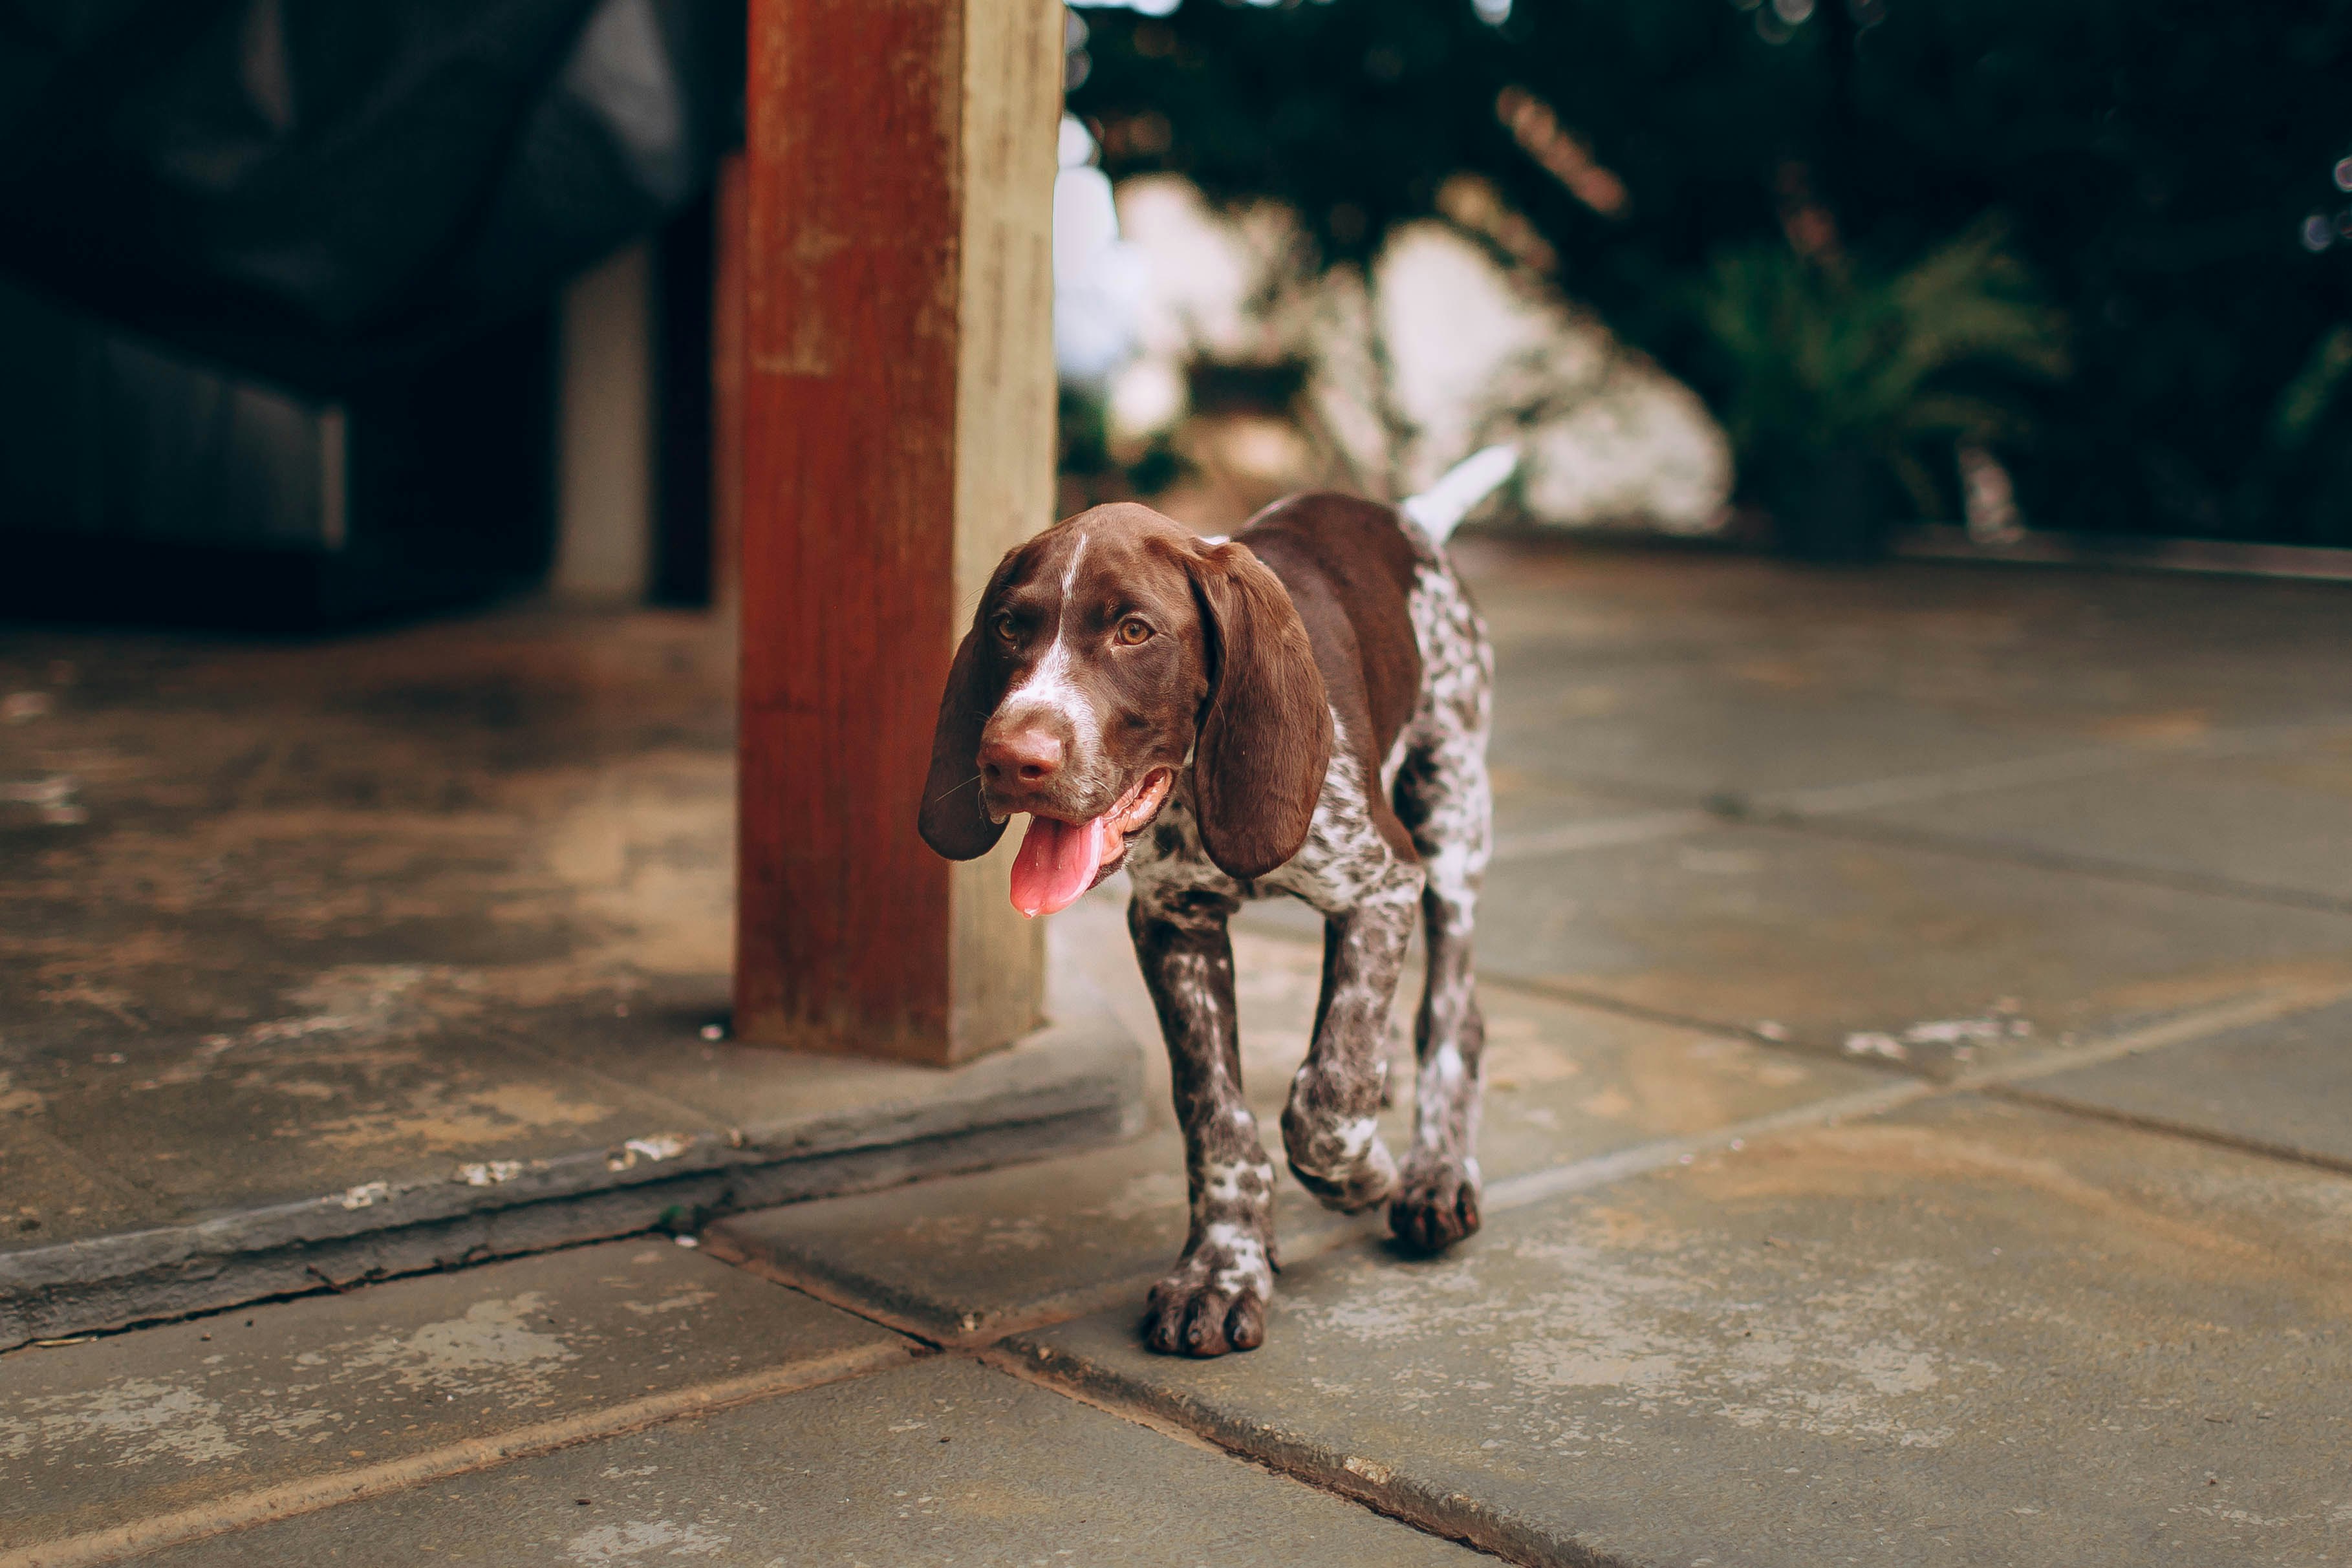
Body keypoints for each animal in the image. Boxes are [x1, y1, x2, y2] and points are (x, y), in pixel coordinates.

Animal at [917, 446, 1505, 1354]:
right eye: (1010, 627)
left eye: (1134, 631)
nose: (1009, 759)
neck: (1196, 789)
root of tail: (1407, 518)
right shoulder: (1174, 923)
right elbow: (1215, 1113)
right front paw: (1223, 1267)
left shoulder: (1382, 882)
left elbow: (1327, 1095)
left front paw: (1358, 1172)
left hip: (1452, 818)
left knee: (1450, 1016)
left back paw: (1434, 1172)